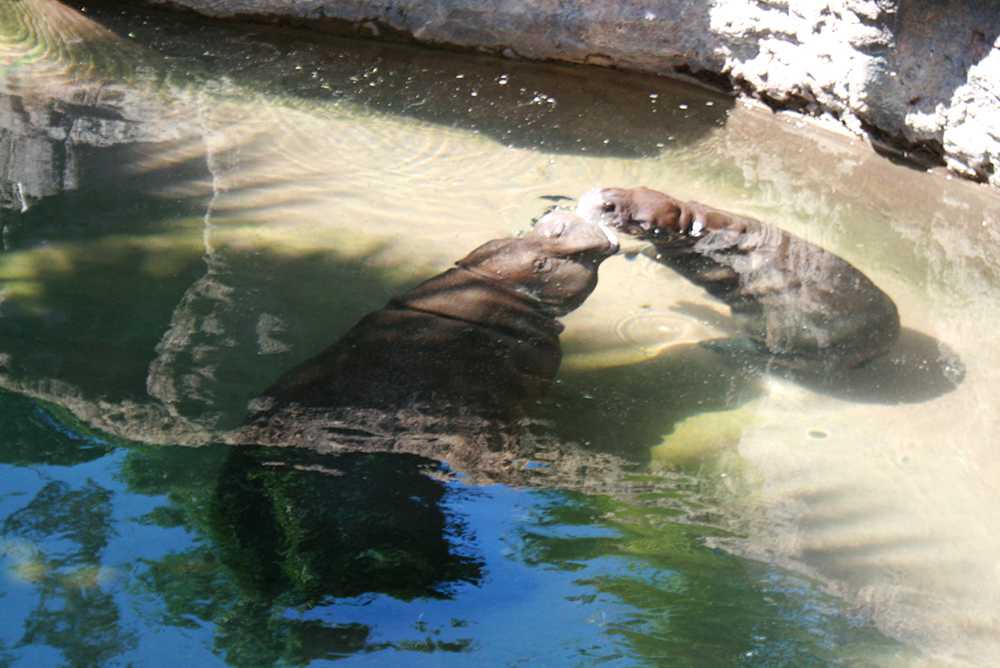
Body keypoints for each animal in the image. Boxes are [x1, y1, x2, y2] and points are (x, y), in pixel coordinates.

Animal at [580, 187, 900, 370]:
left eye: (612, 208)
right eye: (619, 189)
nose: (603, 196)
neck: (696, 224)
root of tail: (885, 341)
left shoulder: (686, 255)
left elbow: (655, 252)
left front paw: (628, 249)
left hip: (791, 329)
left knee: (773, 352)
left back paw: (715, 345)